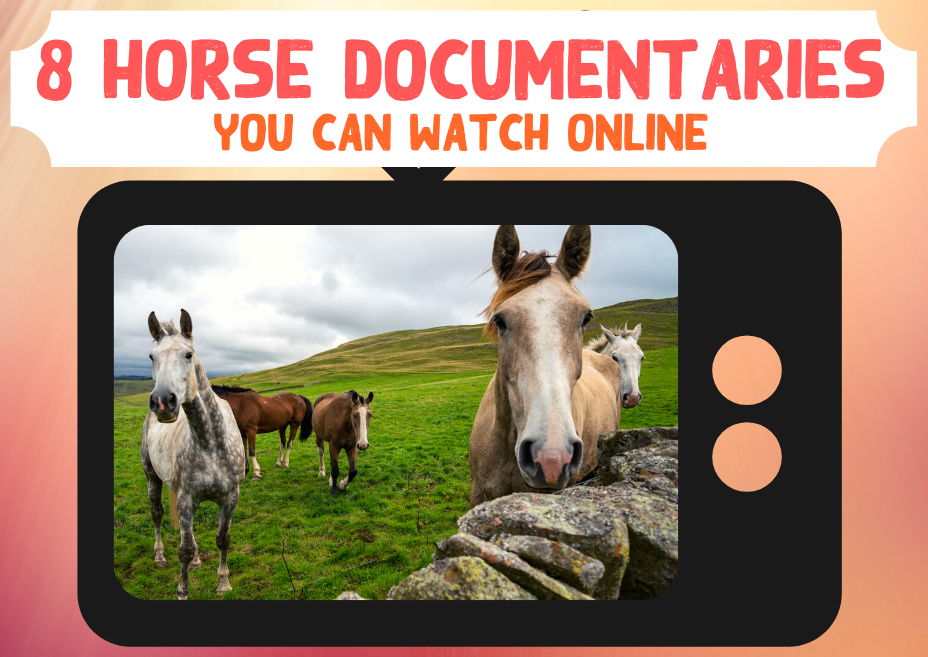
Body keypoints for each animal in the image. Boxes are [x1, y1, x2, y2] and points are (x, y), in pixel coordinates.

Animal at [140, 310, 246, 599]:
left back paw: (198, 560)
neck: (210, 442)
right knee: (157, 514)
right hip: (151, 476)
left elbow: (223, 540)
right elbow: (184, 550)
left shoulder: (230, 497)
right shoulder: (186, 499)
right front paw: (182, 591)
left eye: (188, 354)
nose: (162, 401)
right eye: (152, 357)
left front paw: (223, 583)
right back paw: (160, 555)